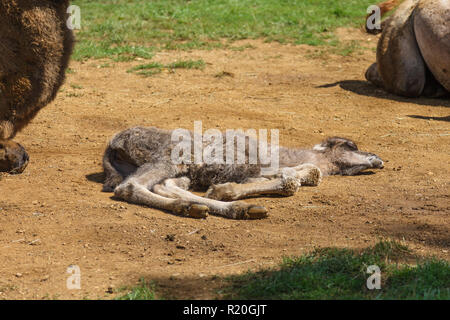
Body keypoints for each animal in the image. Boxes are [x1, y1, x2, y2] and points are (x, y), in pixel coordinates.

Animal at [103, 127, 384, 220]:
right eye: (351, 145)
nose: (378, 159)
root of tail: (113, 144)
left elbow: (309, 173)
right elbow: (291, 180)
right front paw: (225, 191)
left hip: (179, 168)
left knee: (164, 185)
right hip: (170, 157)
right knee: (129, 187)